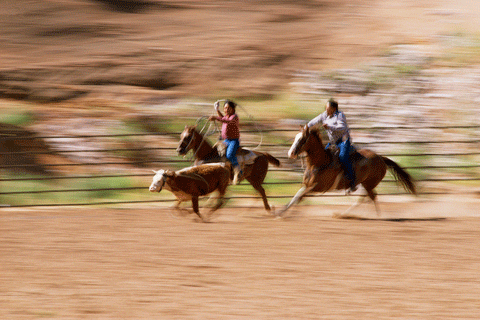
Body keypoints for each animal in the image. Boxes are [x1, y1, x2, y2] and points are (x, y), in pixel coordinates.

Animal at [278, 125, 416, 218]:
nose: (290, 153)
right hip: (366, 184)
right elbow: (297, 197)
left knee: (369, 197)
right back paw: (346, 214)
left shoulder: (316, 187)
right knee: (366, 198)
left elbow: (299, 197)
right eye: (295, 137)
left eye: (302, 139)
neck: (319, 163)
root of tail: (381, 158)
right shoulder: (306, 185)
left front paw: (282, 213)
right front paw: (281, 212)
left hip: (369, 183)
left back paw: (375, 216)